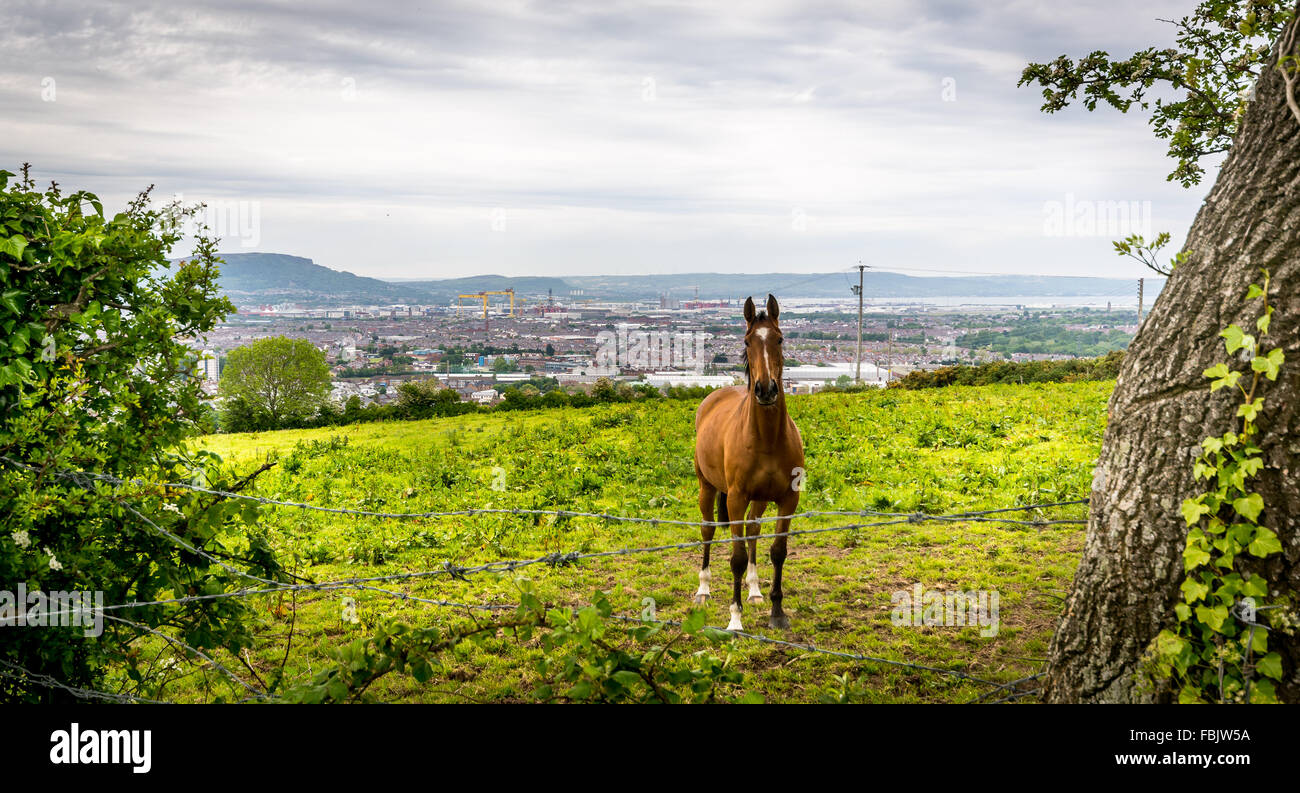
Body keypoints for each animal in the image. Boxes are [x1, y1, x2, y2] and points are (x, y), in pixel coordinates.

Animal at [691, 291, 800, 629]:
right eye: (748, 340)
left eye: (780, 339)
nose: (765, 389)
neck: (767, 438)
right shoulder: (736, 497)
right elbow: (736, 558)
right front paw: (735, 618)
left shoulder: (788, 499)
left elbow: (778, 551)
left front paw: (777, 611)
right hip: (707, 487)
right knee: (708, 530)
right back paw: (703, 589)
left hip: (760, 499)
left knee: (753, 532)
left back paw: (754, 591)